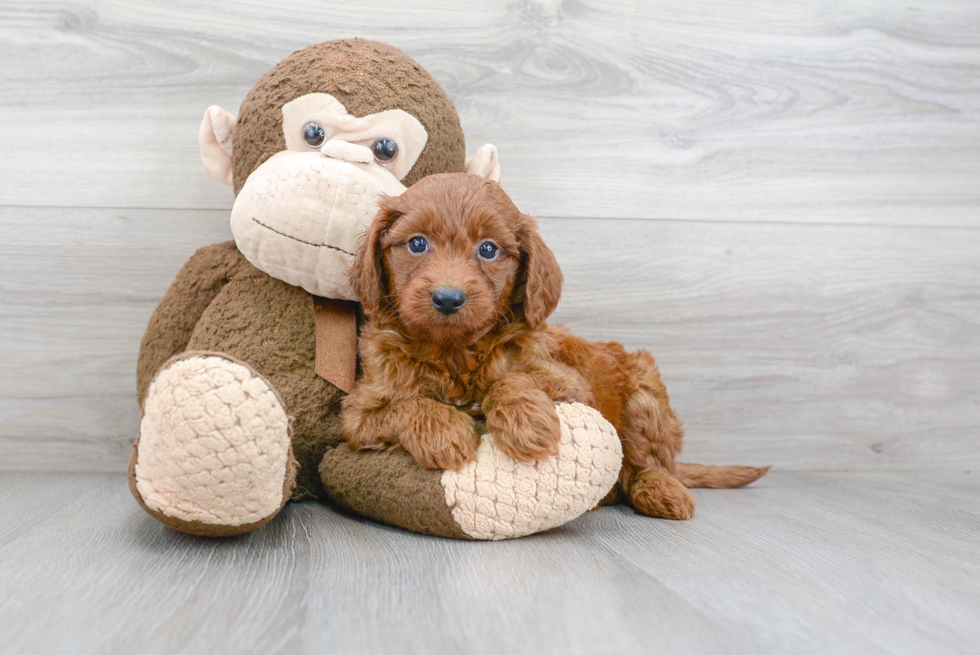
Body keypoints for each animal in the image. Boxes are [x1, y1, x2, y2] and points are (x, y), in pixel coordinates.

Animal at [340, 172, 768, 520]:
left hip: (644, 391)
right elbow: (405, 406)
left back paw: (660, 490)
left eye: (488, 249)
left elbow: (510, 380)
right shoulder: (358, 416)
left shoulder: (571, 385)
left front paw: (526, 422)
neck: (454, 351)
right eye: (417, 243)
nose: (448, 298)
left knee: (643, 461)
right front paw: (444, 430)